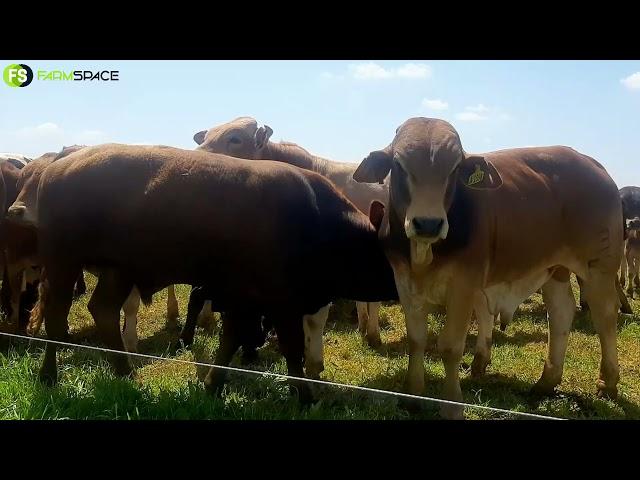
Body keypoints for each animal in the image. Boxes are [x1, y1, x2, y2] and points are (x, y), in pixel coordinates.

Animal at [28, 143, 400, 402]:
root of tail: (57, 167)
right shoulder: (280, 304)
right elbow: (291, 349)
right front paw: (304, 396)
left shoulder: (245, 300)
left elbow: (231, 340)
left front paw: (212, 384)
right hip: (63, 264)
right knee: (57, 320)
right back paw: (48, 376)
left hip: (118, 271)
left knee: (103, 310)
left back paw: (127, 374)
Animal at [352, 117, 624, 420]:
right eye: (399, 164)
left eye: (455, 168)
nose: (428, 224)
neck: (424, 255)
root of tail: (593, 164)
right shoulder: (406, 284)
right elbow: (416, 340)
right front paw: (413, 396)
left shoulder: (463, 287)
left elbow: (450, 347)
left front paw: (452, 405)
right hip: (556, 269)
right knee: (561, 314)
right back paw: (546, 382)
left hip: (599, 268)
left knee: (605, 317)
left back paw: (607, 383)